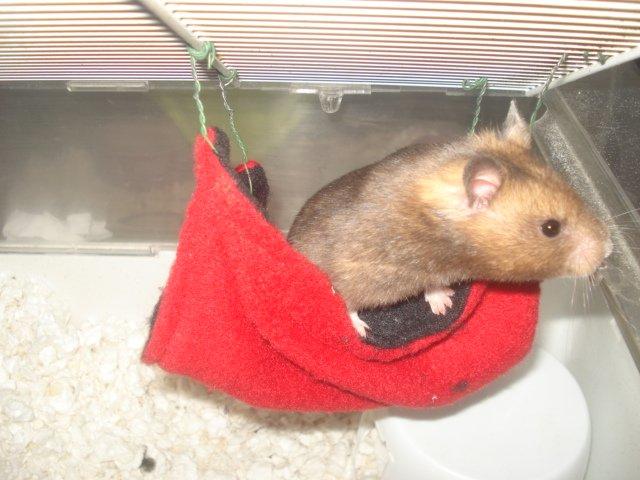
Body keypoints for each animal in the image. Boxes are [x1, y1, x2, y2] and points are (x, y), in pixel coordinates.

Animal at [288, 101, 612, 337]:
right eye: (550, 228)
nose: (609, 251)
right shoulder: (355, 270)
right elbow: (348, 302)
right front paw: (362, 331)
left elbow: (433, 286)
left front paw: (444, 304)